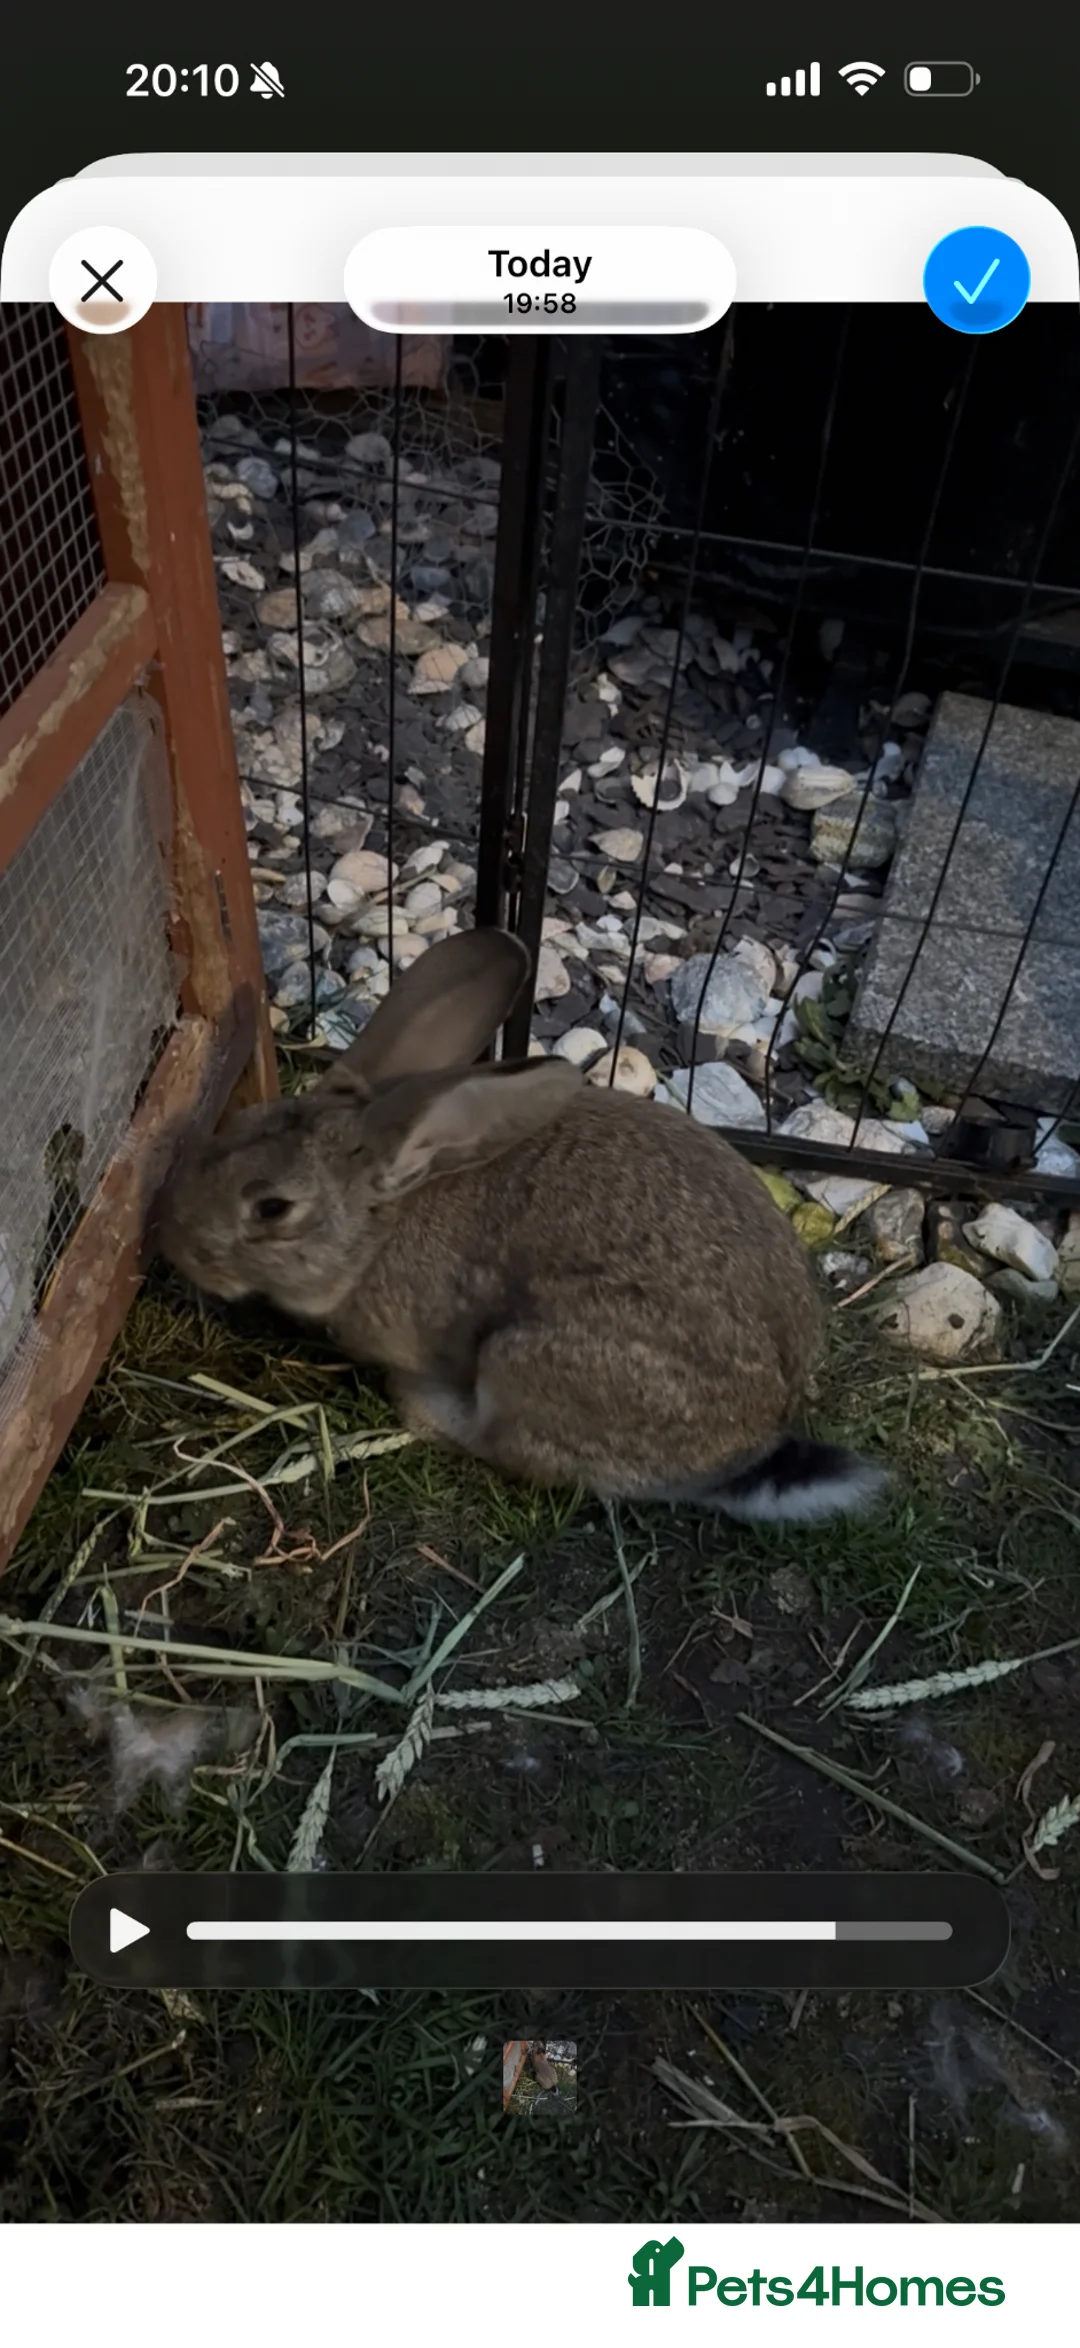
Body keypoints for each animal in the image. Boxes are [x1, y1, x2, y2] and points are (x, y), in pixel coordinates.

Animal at [155, 927, 887, 1522]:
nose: (176, 1245)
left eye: (272, 1209)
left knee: (514, 1449)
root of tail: (749, 1449)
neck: (383, 1222)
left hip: (525, 1358)